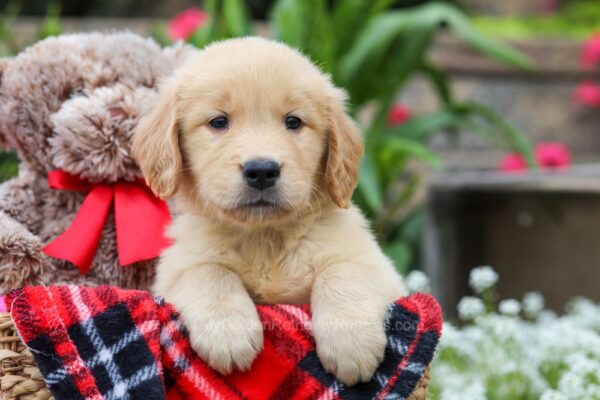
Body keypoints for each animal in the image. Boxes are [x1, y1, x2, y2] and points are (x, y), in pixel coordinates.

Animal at [133, 37, 406, 384]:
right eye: (219, 122)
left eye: (293, 122)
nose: (262, 170)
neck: (264, 238)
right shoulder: (175, 271)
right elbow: (209, 271)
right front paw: (228, 333)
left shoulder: (379, 268)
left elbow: (343, 271)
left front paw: (351, 342)